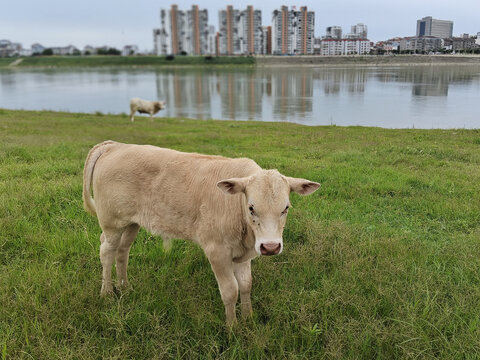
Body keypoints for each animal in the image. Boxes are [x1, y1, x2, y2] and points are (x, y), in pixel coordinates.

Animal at [84, 141, 320, 326]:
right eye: (251, 207)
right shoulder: (217, 250)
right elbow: (230, 290)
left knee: (122, 251)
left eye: (286, 208)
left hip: (131, 223)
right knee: (106, 251)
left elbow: (246, 285)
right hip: (112, 222)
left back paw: (125, 287)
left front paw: (248, 318)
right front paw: (232, 328)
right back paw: (107, 293)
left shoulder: (243, 253)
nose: (270, 247)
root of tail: (115, 145)